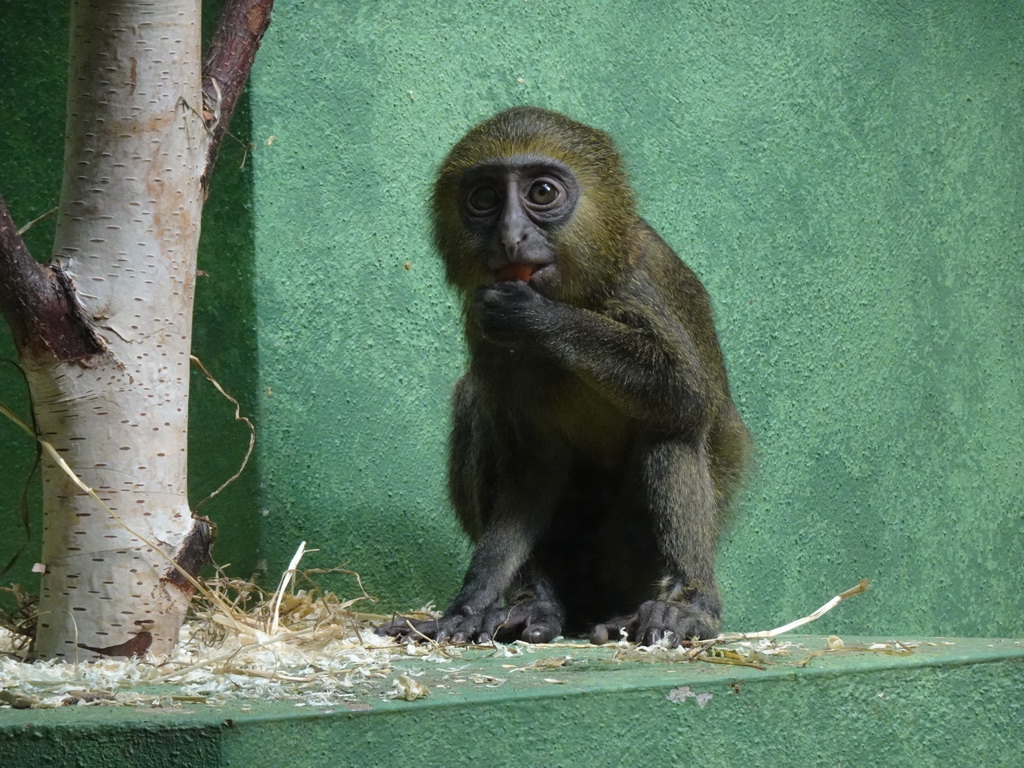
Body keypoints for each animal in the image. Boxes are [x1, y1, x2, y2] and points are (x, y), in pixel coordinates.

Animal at [380, 107, 749, 651]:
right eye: (484, 199)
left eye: (542, 193)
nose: (511, 237)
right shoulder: (484, 333)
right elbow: (530, 462)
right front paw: (469, 605)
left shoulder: (642, 283)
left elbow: (688, 393)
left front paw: (537, 318)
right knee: (476, 405)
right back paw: (534, 605)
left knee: (672, 424)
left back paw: (688, 607)